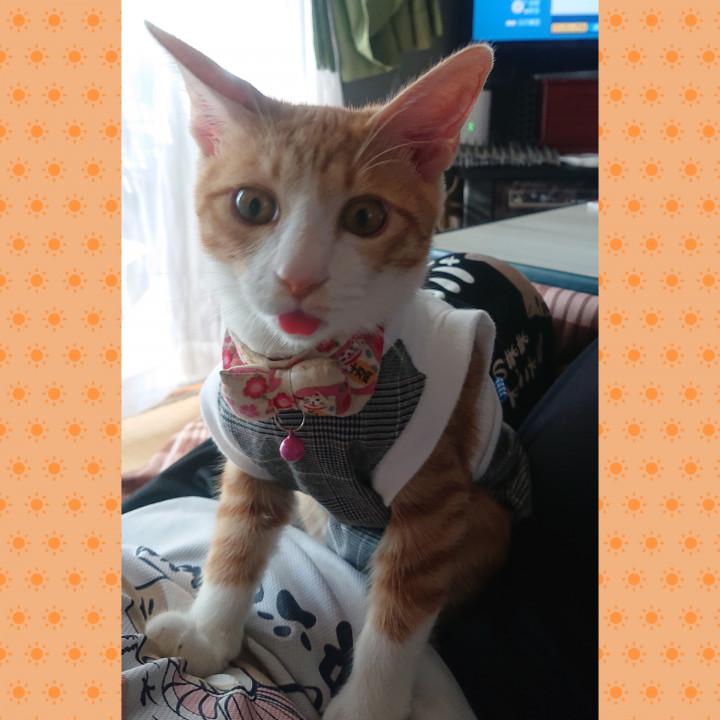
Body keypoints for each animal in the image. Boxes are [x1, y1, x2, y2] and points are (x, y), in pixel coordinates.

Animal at [144, 23, 515, 720]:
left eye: (366, 217)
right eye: (251, 204)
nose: (298, 277)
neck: (303, 382)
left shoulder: (436, 488)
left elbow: (404, 600)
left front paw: (369, 704)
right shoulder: (252, 448)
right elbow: (236, 534)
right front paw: (209, 635)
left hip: (485, 522)